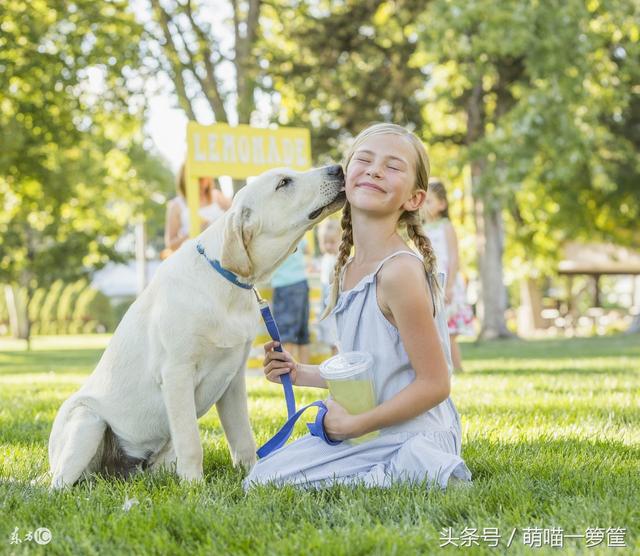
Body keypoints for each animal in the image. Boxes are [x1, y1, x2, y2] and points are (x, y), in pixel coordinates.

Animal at [48, 164, 344, 486]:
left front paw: (252, 473)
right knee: (59, 484)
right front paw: (193, 486)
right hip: (87, 421)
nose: (337, 168)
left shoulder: (234, 380)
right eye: (284, 183)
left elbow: (243, 438)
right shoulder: (177, 373)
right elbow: (191, 441)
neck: (225, 282)